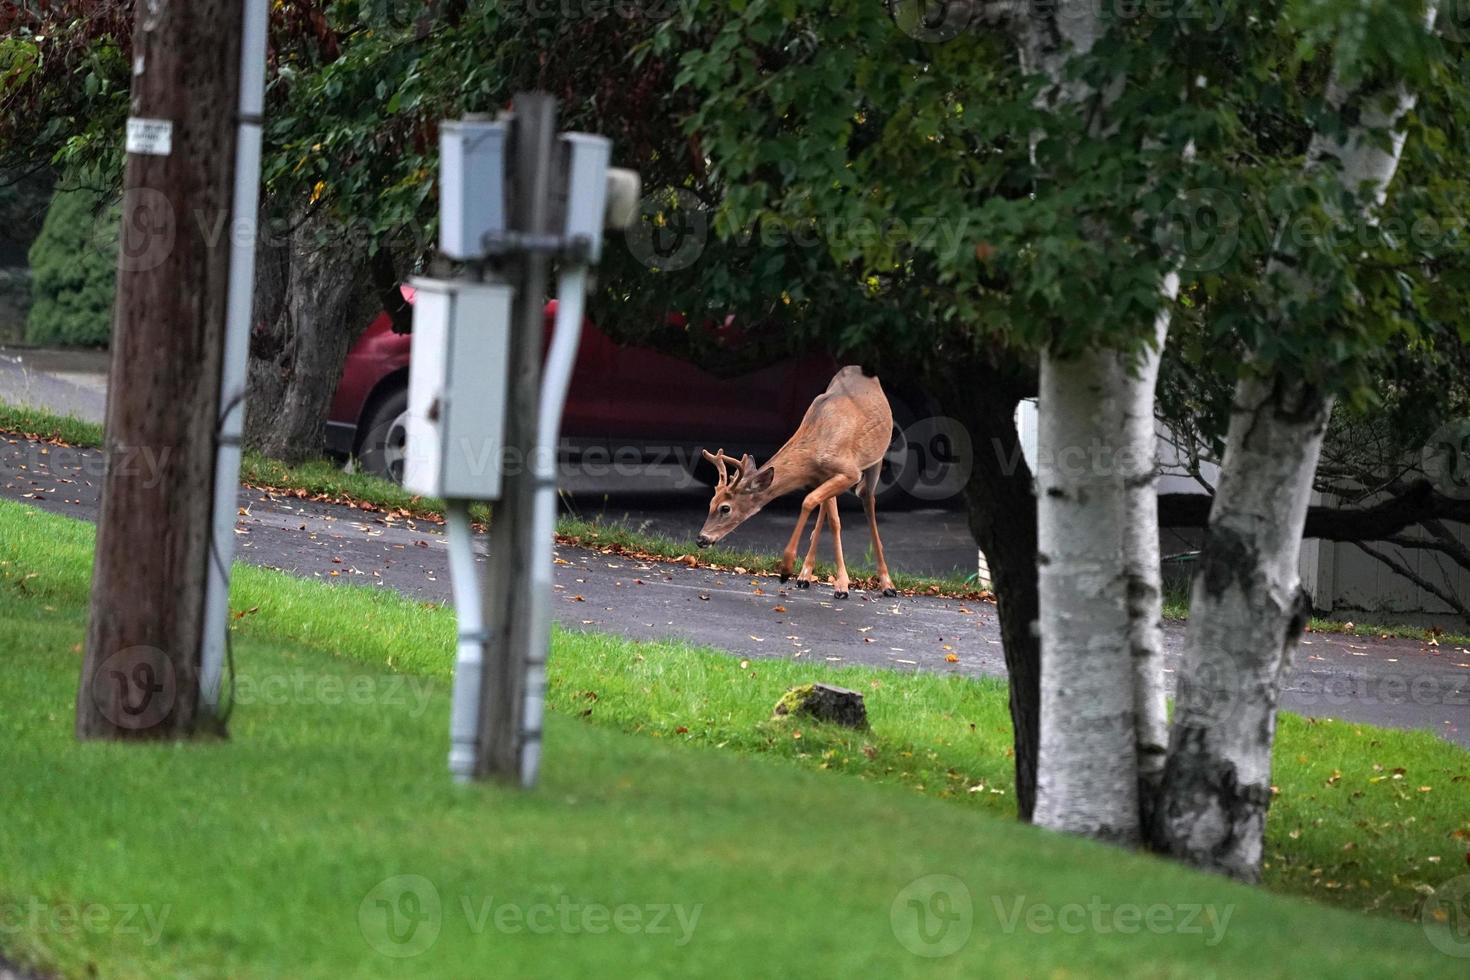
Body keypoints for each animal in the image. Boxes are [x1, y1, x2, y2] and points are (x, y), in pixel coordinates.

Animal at [696, 364, 899, 599]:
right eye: (710, 503)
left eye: (725, 508)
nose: (701, 539)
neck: (814, 451)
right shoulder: (825, 475)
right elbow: (832, 520)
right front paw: (836, 582)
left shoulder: (850, 472)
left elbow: (809, 502)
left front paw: (788, 570)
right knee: (827, 511)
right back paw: (805, 576)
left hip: (875, 461)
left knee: (868, 501)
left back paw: (887, 584)